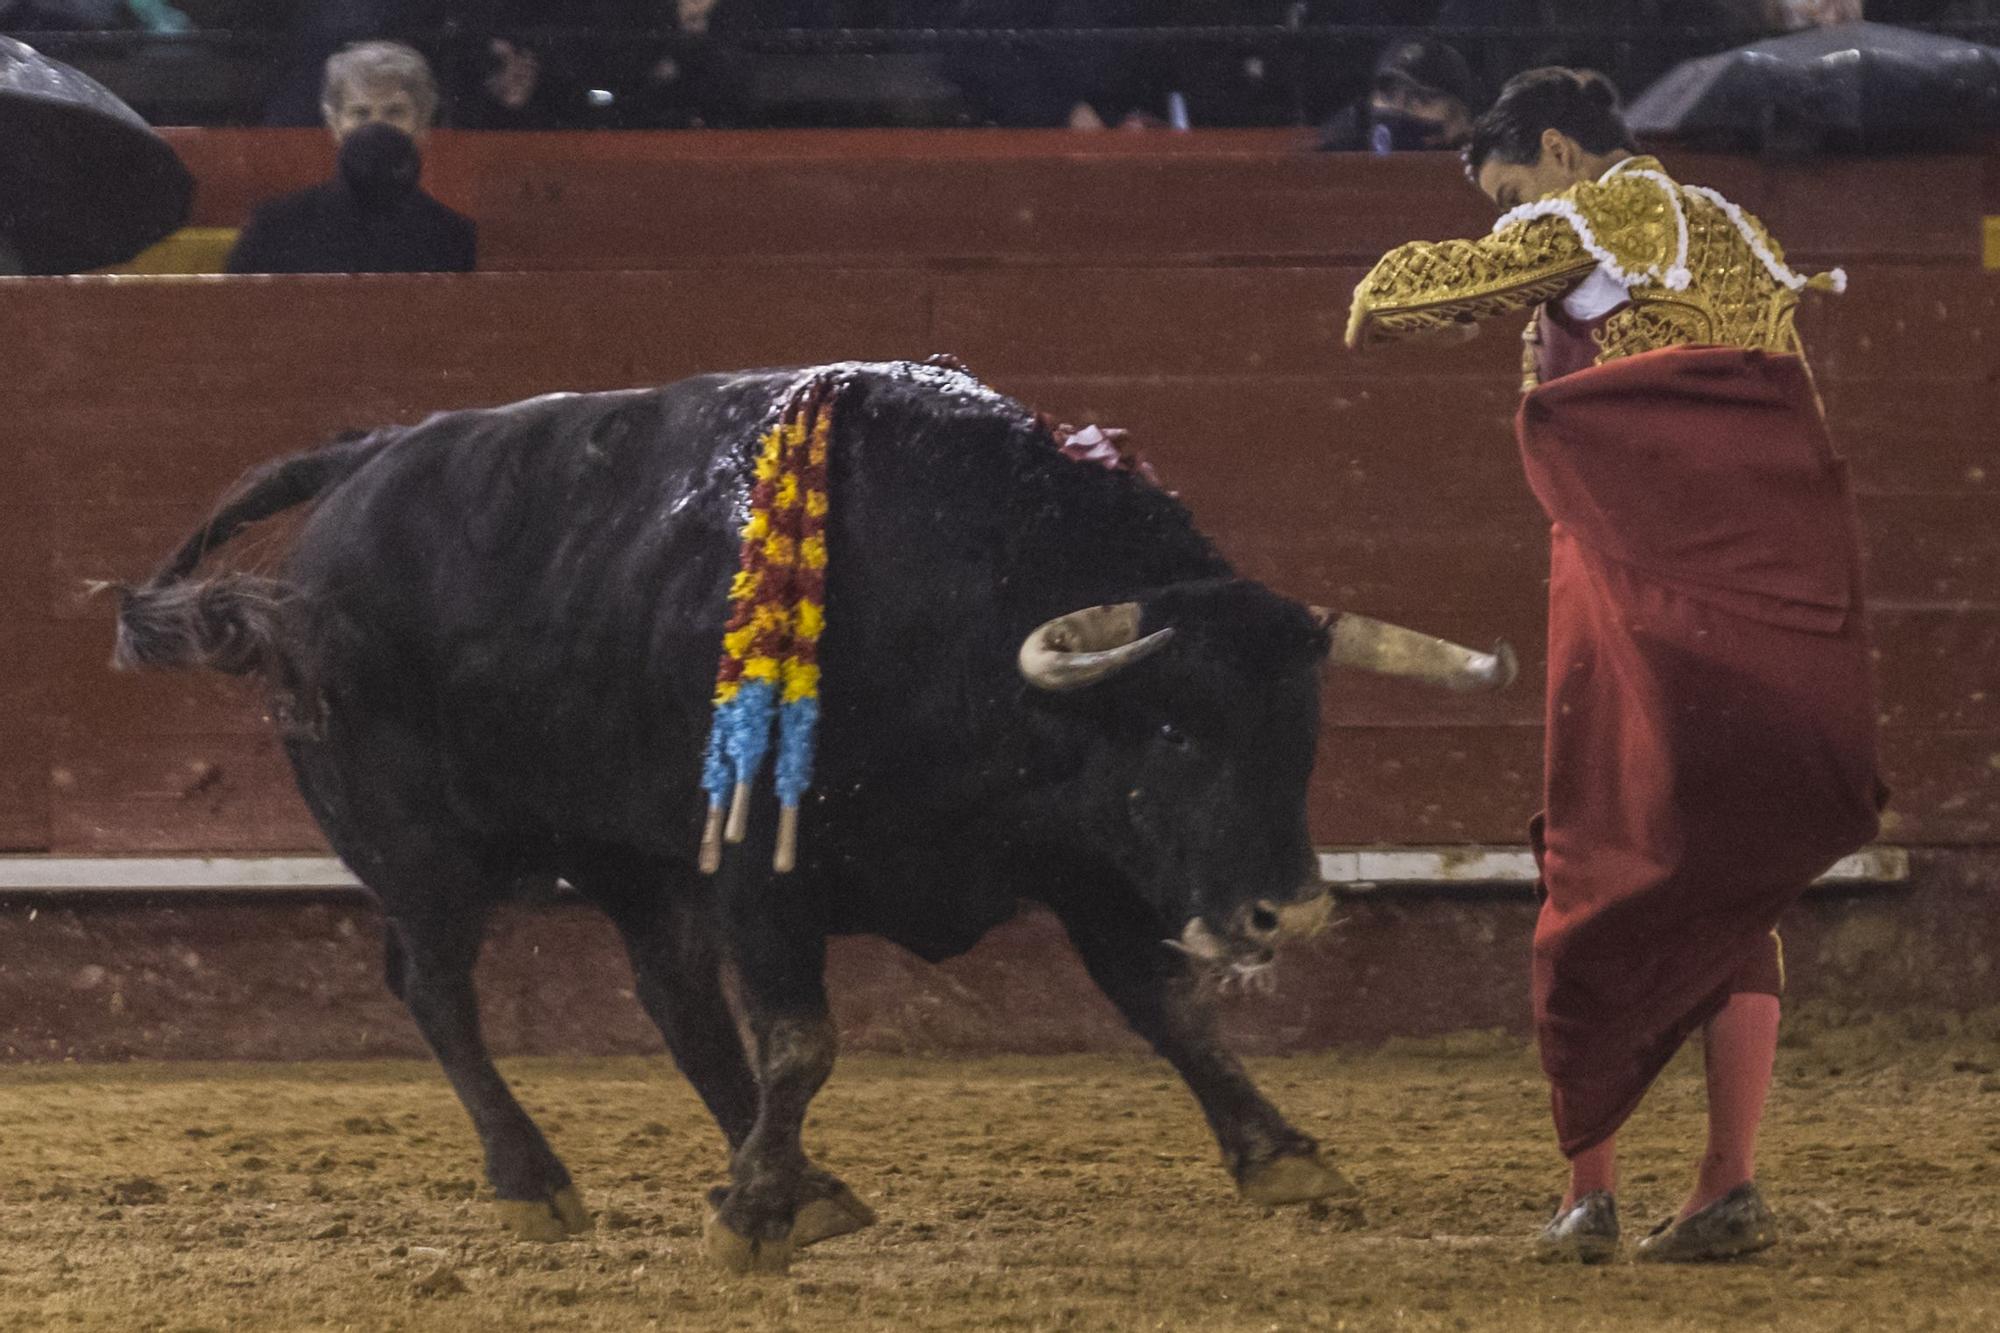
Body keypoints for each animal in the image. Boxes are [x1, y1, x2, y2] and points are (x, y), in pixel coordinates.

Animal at [113, 358, 1512, 1272]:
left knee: (672, 996)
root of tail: (364, 461)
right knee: (436, 988)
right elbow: (804, 1037)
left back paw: (793, 1178)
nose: (1289, 913)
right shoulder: (760, 870)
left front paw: (1280, 1153)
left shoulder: (1081, 861)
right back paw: (538, 1181)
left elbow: (1166, 1009)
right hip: (416, 848)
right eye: (1174, 730)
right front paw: (746, 1218)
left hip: (633, 859)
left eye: (1304, 735)